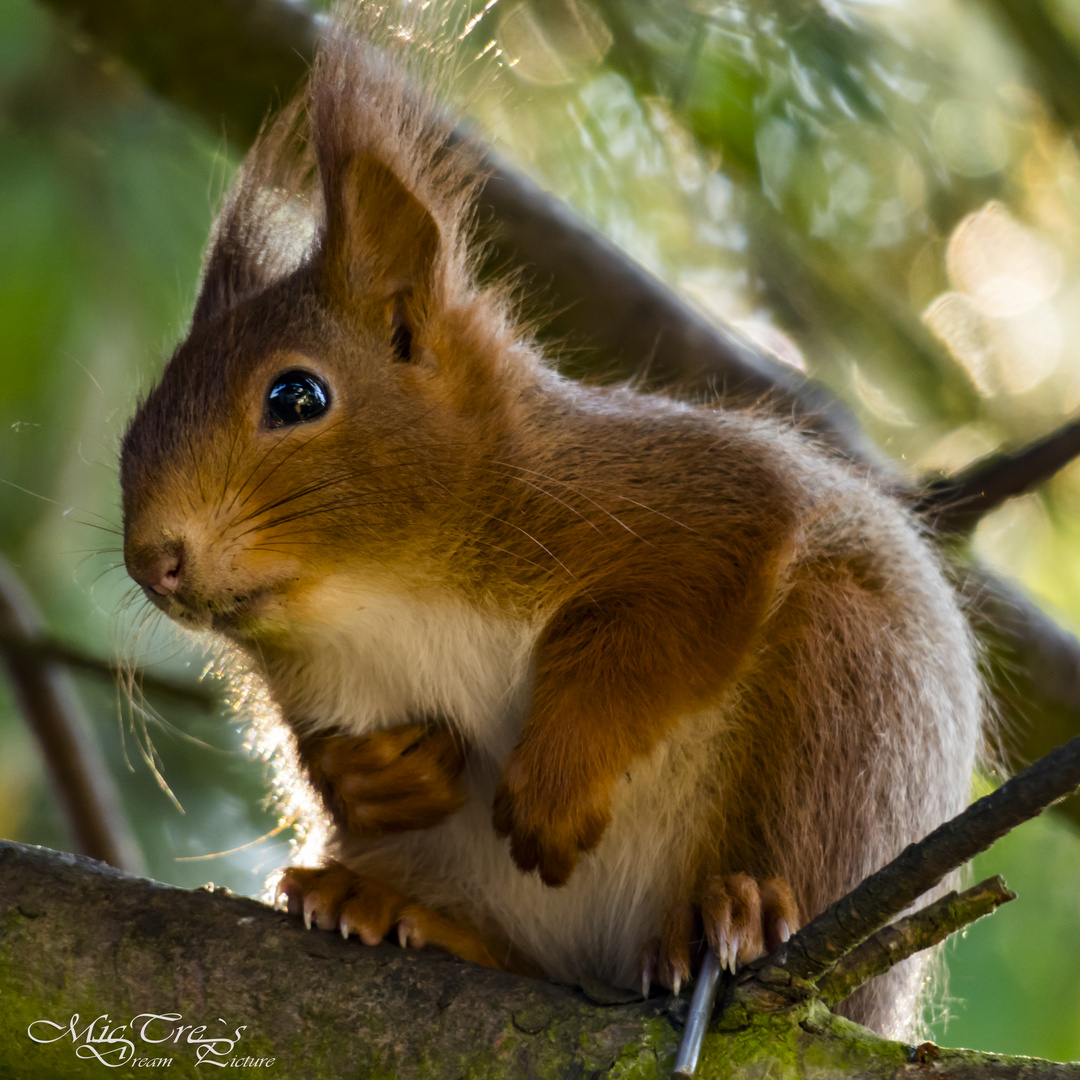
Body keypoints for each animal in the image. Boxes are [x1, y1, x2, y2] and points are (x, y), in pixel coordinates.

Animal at [118, 6, 980, 1036]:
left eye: (296, 396)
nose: (152, 561)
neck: (377, 591)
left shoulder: (689, 498)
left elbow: (670, 617)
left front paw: (555, 781)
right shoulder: (313, 678)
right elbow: (314, 747)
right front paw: (373, 774)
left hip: (849, 703)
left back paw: (737, 910)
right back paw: (397, 908)